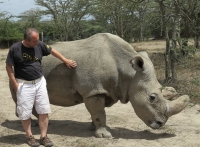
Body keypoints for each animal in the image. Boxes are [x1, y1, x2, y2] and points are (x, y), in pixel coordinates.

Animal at [9, 33, 189, 138]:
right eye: (152, 97)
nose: (160, 124)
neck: (128, 70)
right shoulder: (93, 91)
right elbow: (99, 113)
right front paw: (104, 136)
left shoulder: (105, 90)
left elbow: (97, 112)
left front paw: (93, 128)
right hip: (16, 72)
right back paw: (33, 124)